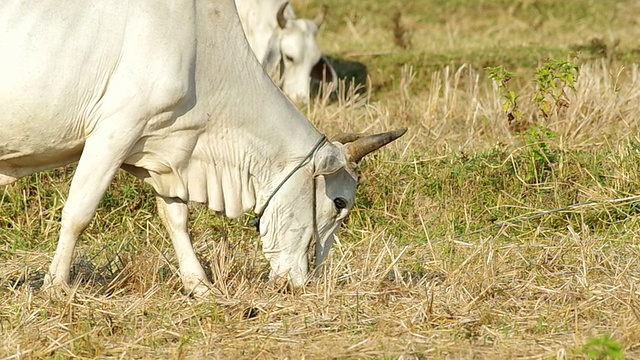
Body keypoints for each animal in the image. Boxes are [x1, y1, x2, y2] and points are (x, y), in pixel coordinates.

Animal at [0, 0, 408, 296]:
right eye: (339, 203)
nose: (303, 283)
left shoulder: (163, 153)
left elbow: (176, 219)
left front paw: (200, 285)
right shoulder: (115, 131)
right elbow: (78, 213)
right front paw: (56, 288)